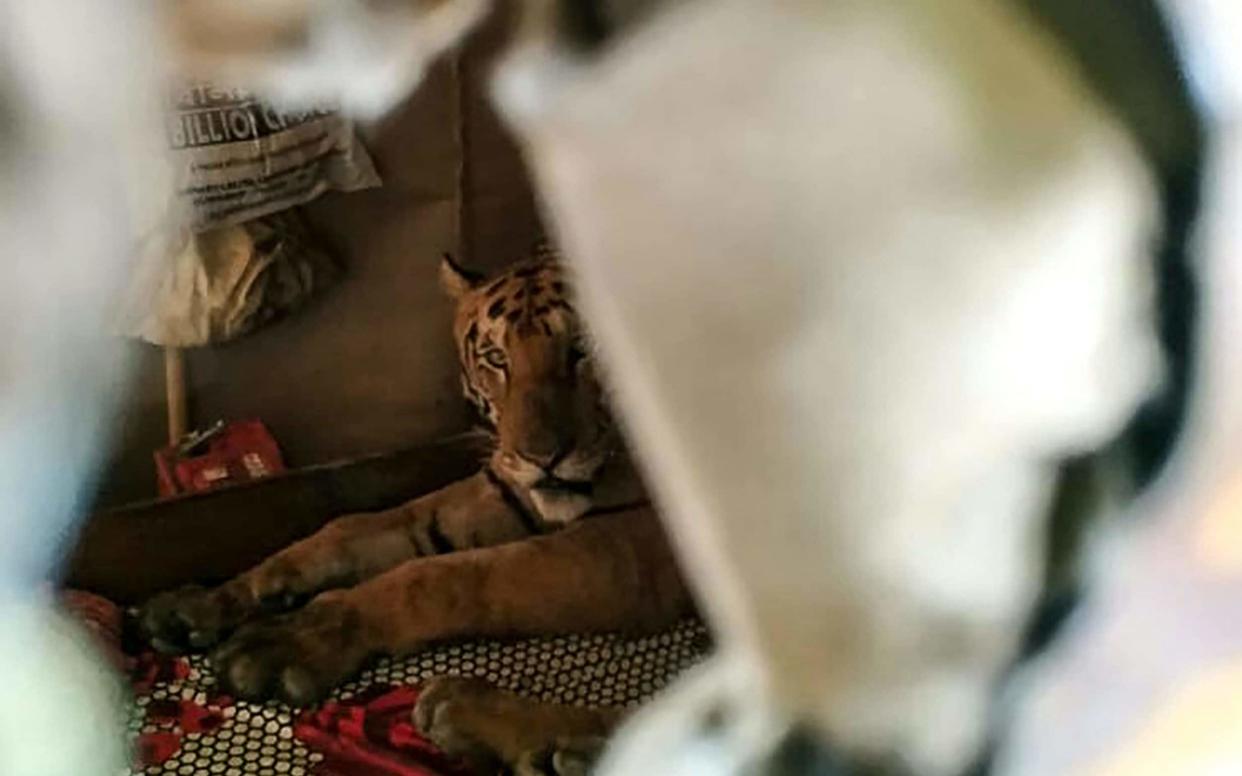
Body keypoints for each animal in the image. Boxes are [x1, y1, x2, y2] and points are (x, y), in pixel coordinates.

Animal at [142, 247, 700, 769]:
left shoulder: (630, 549)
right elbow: (358, 528)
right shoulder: (504, 491)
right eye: (496, 358)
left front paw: (292, 641)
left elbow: (441, 576)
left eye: (584, 347)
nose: (541, 457)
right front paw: (211, 602)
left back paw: (497, 723)